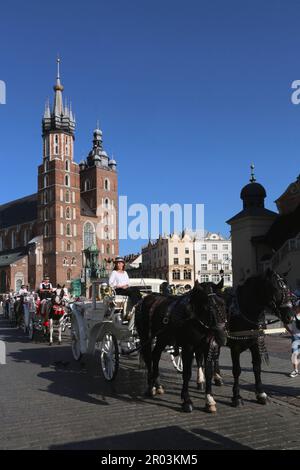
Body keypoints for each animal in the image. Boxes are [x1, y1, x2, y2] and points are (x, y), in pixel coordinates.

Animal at [135, 280, 226, 414]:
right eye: (206, 307)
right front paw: (186, 401)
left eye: (223, 304)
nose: (222, 336)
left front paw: (209, 400)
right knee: (148, 358)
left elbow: (208, 372)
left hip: (162, 338)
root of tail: (145, 298)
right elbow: (187, 373)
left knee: (155, 356)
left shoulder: (207, 346)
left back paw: (158, 385)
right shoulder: (188, 347)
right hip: (145, 337)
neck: (194, 317)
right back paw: (151, 387)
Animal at [227, 270, 292, 406]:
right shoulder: (235, 347)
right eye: (274, 288)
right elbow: (236, 370)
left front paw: (261, 393)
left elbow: (257, 367)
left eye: (287, 289)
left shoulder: (255, 343)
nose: (290, 316)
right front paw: (236, 396)